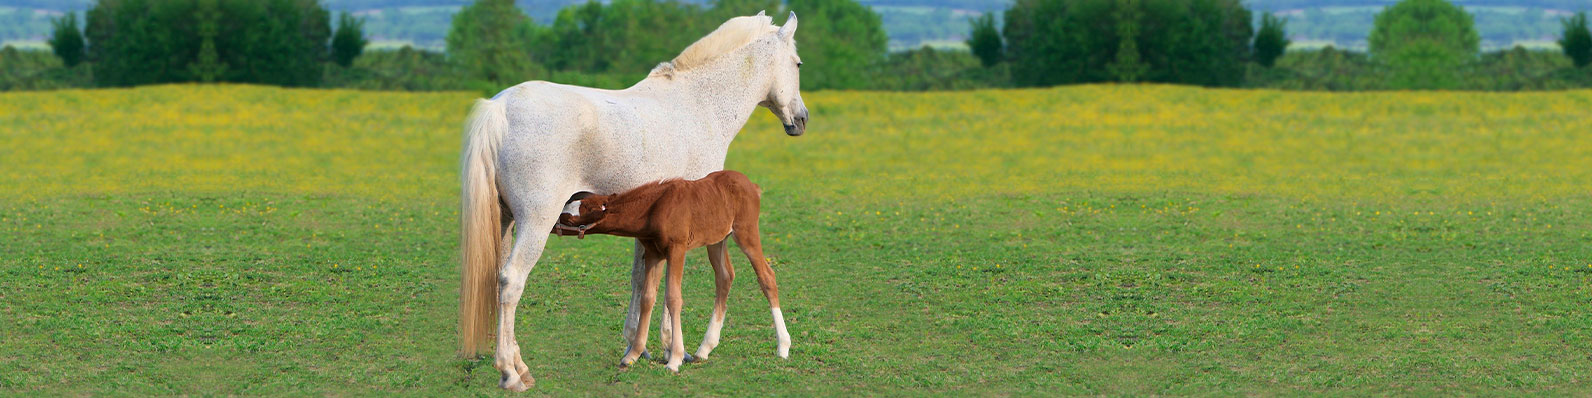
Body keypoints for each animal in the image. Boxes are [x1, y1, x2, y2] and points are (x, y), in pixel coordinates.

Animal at [557, 169, 792, 370]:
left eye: (569, 217)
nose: (553, 225)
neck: (654, 208)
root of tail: (752, 185)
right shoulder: (654, 253)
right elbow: (647, 297)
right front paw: (633, 355)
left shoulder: (677, 249)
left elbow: (673, 297)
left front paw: (674, 359)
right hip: (716, 240)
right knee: (725, 277)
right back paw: (704, 349)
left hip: (746, 232)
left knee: (766, 276)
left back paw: (783, 346)